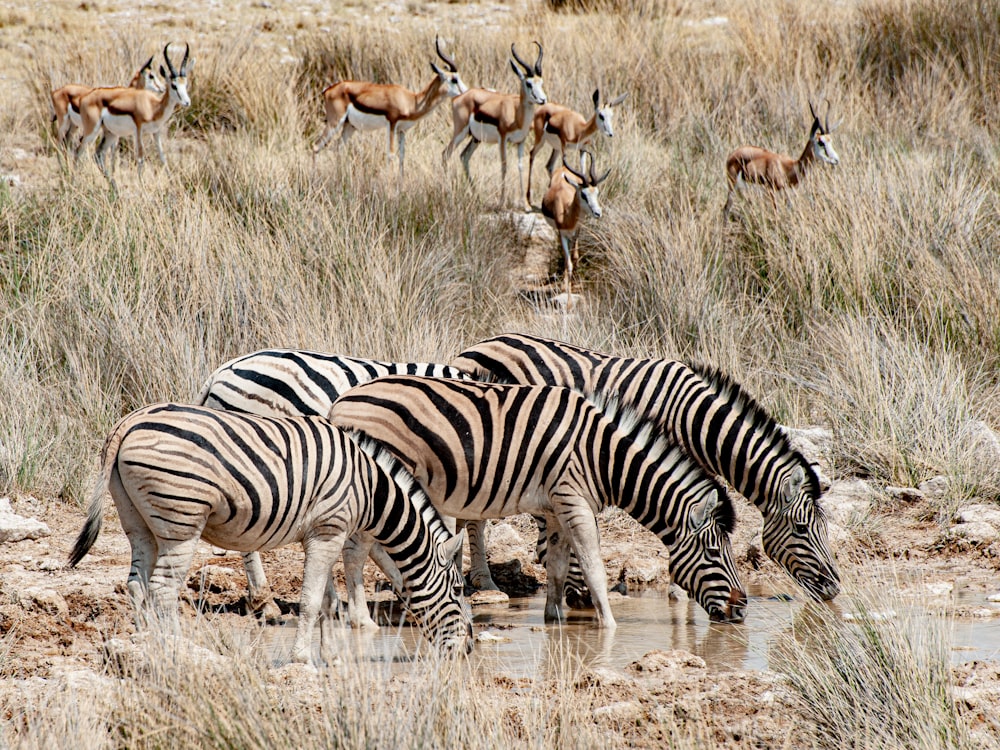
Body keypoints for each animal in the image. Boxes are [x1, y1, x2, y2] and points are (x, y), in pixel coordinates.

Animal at [68, 406, 474, 664]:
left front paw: (333, 657)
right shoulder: (329, 531)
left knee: (137, 585)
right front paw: (302, 658)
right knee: (162, 590)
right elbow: (310, 601)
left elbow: (328, 601)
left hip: (138, 522)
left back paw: (144, 646)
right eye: (457, 590)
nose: (468, 650)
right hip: (180, 522)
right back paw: (173, 650)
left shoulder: (323, 534)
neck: (370, 491)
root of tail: (129, 421)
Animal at [328, 376, 752, 628]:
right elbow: (593, 567)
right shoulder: (573, 499)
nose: (742, 608)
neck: (604, 456)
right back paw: (361, 620)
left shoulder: (556, 506)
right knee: (354, 551)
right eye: (715, 553)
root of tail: (342, 400)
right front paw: (610, 628)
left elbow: (560, 566)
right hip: (379, 488)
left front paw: (556, 616)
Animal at [454, 332, 844, 604]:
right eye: (801, 528)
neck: (695, 419)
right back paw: (485, 581)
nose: (834, 589)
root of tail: (478, 343)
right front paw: (679, 590)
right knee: (475, 516)